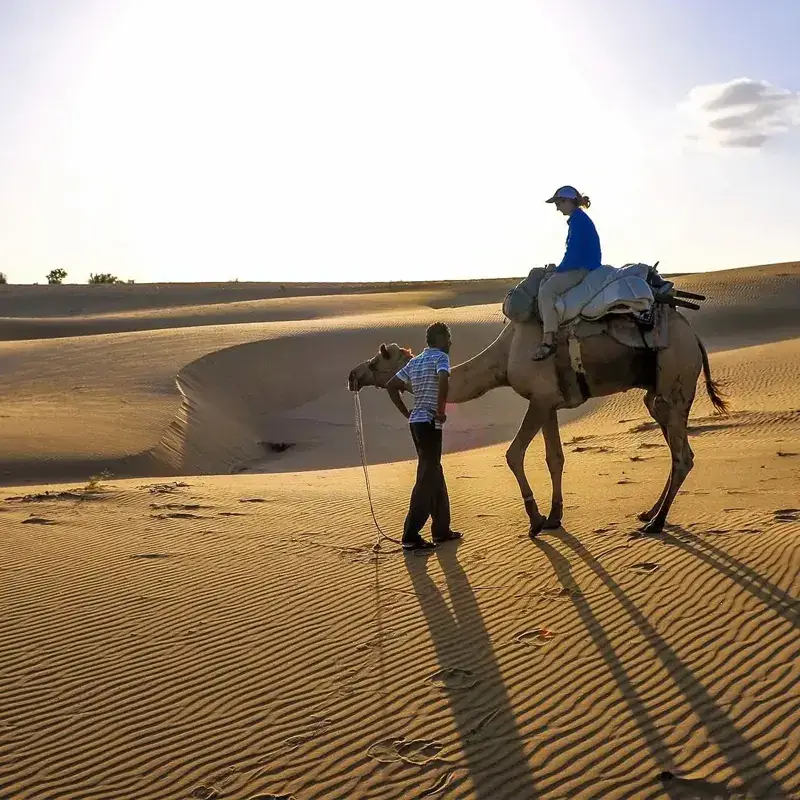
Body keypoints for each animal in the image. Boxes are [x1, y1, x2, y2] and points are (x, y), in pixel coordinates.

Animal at [346, 282, 728, 536]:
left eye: (380, 358)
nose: (353, 374)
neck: (504, 358)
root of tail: (694, 337)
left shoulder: (539, 398)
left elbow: (513, 454)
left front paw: (535, 520)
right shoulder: (550, 402)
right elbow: (554, 457)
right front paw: (555, 516)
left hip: (675, 379)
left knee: (682, 456)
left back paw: (656, 522)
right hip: (658, 394)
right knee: (676, 448)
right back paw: (649, 512)